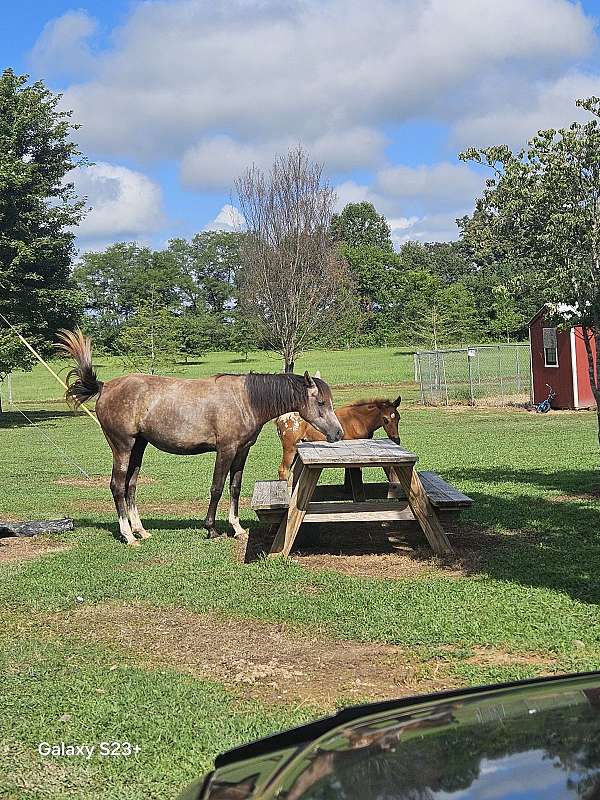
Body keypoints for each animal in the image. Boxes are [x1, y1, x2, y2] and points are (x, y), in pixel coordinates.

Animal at [56, 329, 343, 546]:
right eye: (320, 402)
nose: (338, 433)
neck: (245, 400)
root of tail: (105, 386)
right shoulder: (226, 450)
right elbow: (216, 487)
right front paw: (211, 529)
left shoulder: (242, 451)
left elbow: (235, 487)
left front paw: (237, 528)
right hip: (122, 446)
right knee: (117, 486)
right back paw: (128, 536)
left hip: (139, 446)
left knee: (131, 486)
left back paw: (140, 530)